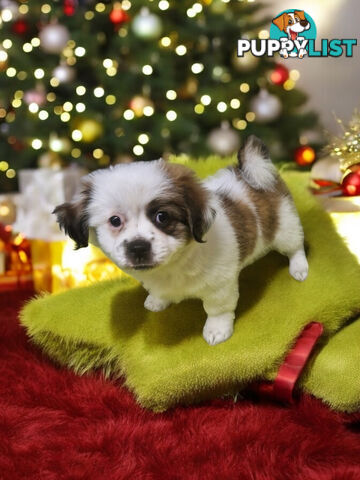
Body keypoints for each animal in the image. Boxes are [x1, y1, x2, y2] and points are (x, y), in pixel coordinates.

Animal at [54, 137, 308, 346]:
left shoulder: (220, 286)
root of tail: (249, 171)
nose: (138, 247)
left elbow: (218, 309)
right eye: (115, 220)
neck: (173, 265)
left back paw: (299, 267)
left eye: (162, 217)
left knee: (295, 247)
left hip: (285, 228)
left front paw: (217, 329)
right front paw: (158, 300)